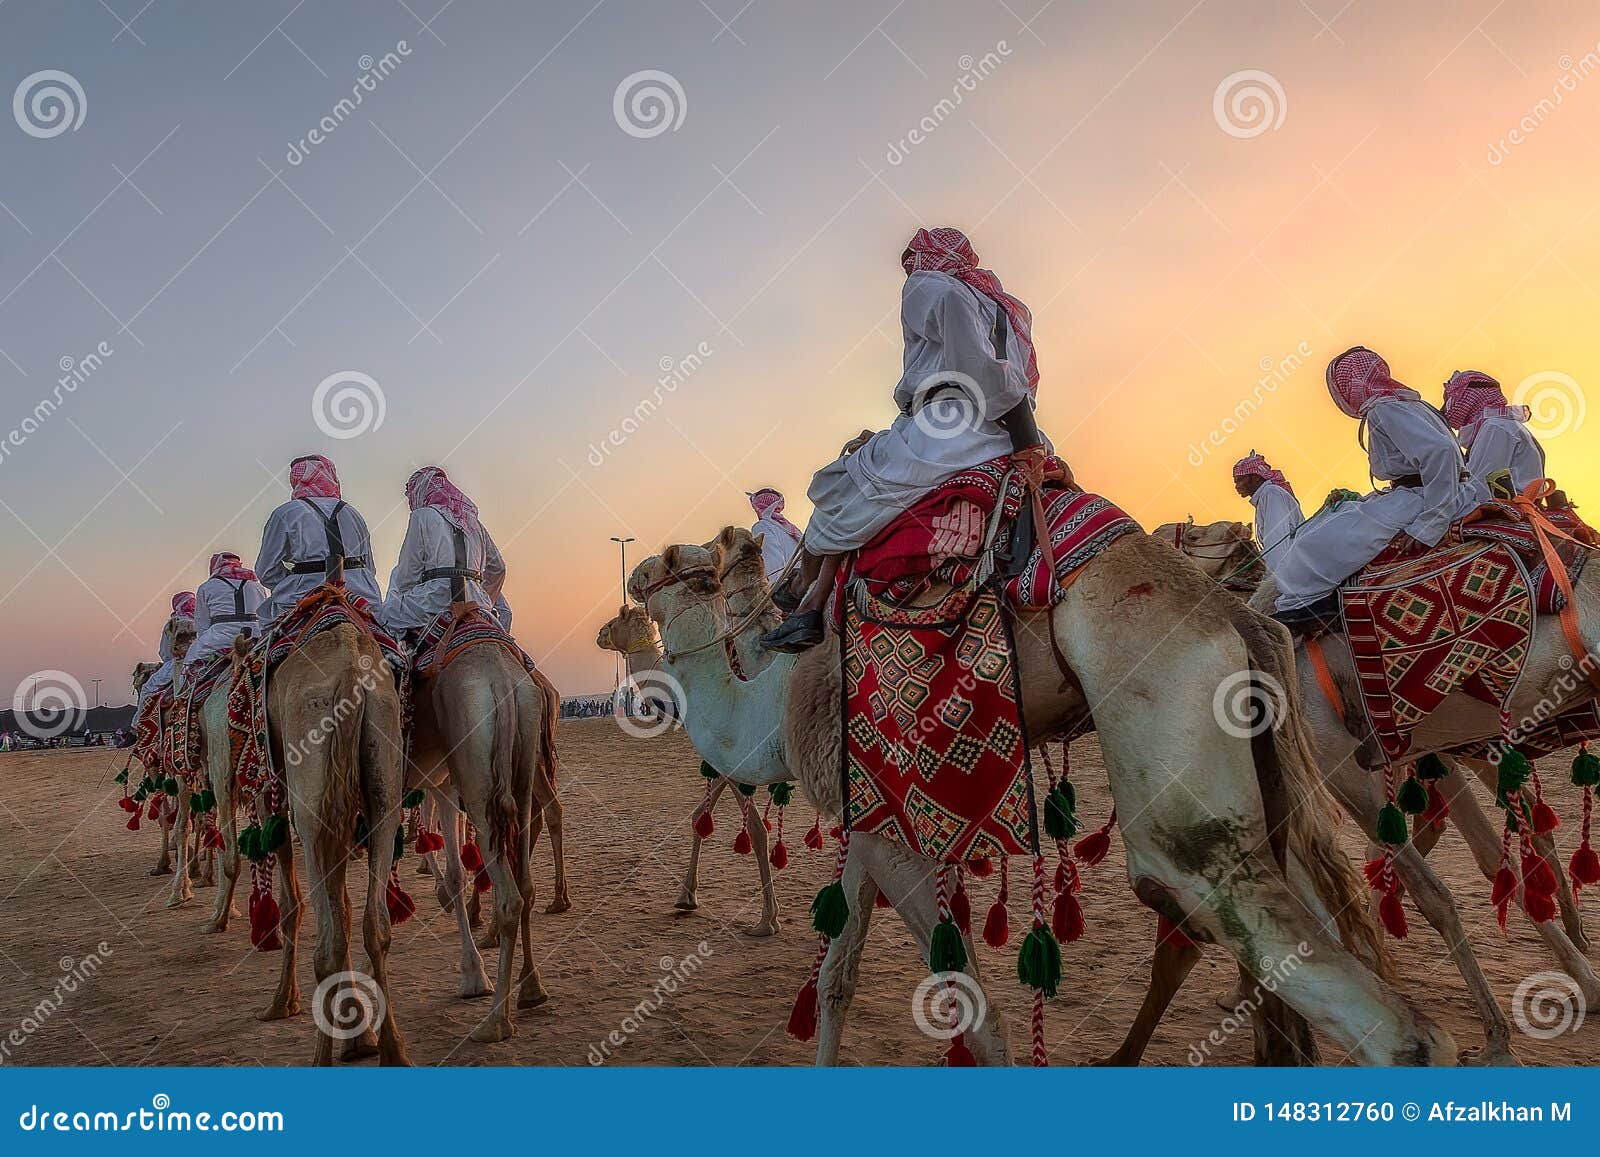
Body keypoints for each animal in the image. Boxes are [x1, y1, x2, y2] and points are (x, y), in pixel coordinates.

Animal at [406, 630, 569, 1043]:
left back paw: (495, 1021)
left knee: (509, 886)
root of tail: (501, 682)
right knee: (527, 868)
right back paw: (531, 986)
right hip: (521, 763)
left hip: (480, 771)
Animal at [630, 534, 1459, 1068]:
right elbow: (838, 982)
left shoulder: (888, 827)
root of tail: (1239, 618)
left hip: (1180, 786)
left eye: (664, 565)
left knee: (1395, 1029)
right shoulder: (869, 823)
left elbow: (981, 1013)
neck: (770, 705)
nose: (633, 580)